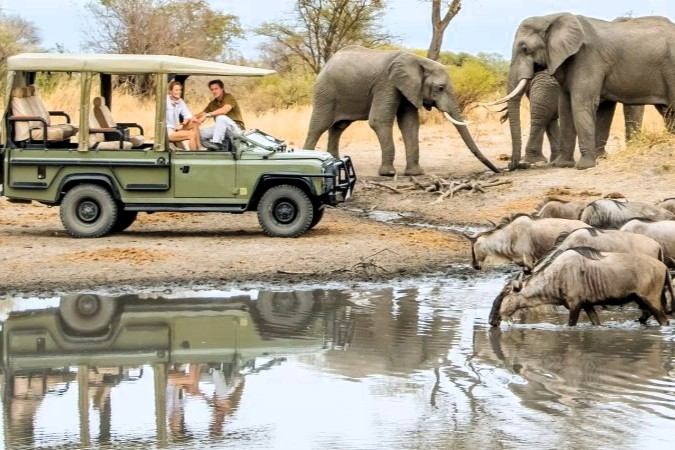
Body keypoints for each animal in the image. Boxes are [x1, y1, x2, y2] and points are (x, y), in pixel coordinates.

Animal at [302, 45, 499, 176]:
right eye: (441, 88)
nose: (497, 171)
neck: (418, 60)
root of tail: (328, 62)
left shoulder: (409, 88)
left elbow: (409, 123)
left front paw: (415, 173)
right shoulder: (387, 84)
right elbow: (379, 120)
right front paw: (388, 174)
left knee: (338, 127)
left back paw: (336, 164)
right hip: (326, 91)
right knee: (319, 125)